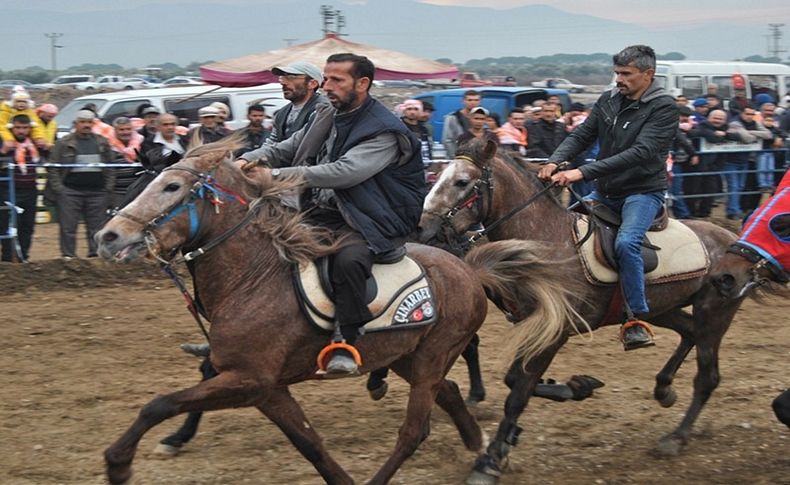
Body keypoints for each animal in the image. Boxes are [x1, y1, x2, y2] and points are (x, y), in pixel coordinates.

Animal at [96, 137, 580, 484]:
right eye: (139, 183)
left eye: (171, 187)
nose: (108, 235)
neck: (254, 277)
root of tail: (467, 266)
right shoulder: (267, 389)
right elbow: (310, 444)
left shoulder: (248, 381)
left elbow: (158, 405)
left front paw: (121, 461)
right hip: (406, 356)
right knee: (448, 392)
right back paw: (481, 450)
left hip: (430, 356)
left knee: (416, 429)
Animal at [418, 137, 788, 484]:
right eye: (437, 176)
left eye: (462, 181)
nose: (423, 229)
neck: (548, 244)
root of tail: (736, 245)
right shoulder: (537, 325)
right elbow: (515, 380)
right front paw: (575, 388)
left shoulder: (556, 331)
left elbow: (518, 392)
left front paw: (491, 459)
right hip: (660, 308)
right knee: (688, 331)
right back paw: (664, 388)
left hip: (715, 312)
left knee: (707, 376)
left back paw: (676, 437)